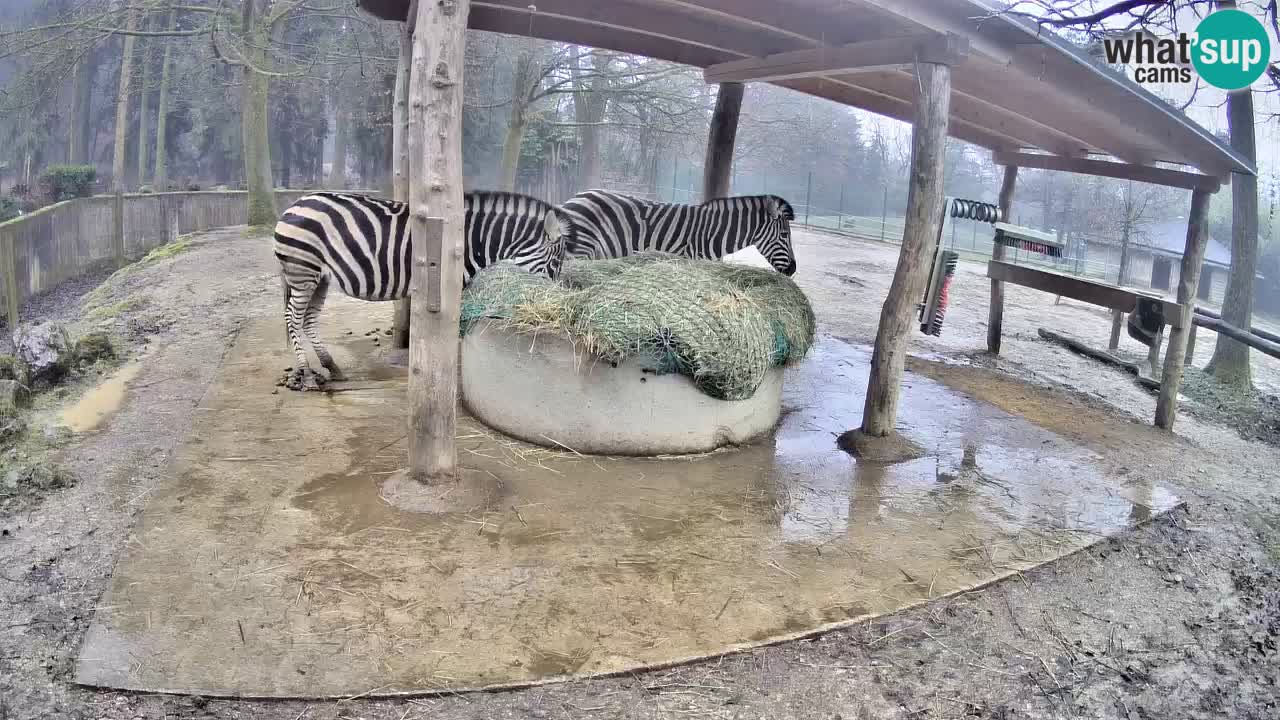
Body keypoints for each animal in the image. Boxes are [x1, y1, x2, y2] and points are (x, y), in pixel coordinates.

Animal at [273, 190, 571, 391]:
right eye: (556, 262)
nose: (557, 297)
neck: (471, 240)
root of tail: (294, 204)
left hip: (319, 277)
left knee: (309, 320)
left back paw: (331, 367)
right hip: (303, 271)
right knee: (293, 319)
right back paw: (306, 375)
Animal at [558, 189, 797, 275]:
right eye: (785, 236)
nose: (793, 269)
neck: (711, 232)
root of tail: (575, 197)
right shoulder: (689, 260)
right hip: (580, 251)